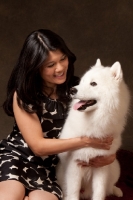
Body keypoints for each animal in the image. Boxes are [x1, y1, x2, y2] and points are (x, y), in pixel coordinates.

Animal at [56, 59, 130, 200]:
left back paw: (116, 190)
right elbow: (73, 191)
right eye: (82, 82)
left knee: (109, 186)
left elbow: (100, 191)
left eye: (93, 84)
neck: (94, 120)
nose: (72, 90)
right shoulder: (75, 164)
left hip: (115, 167)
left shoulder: (101, 165)